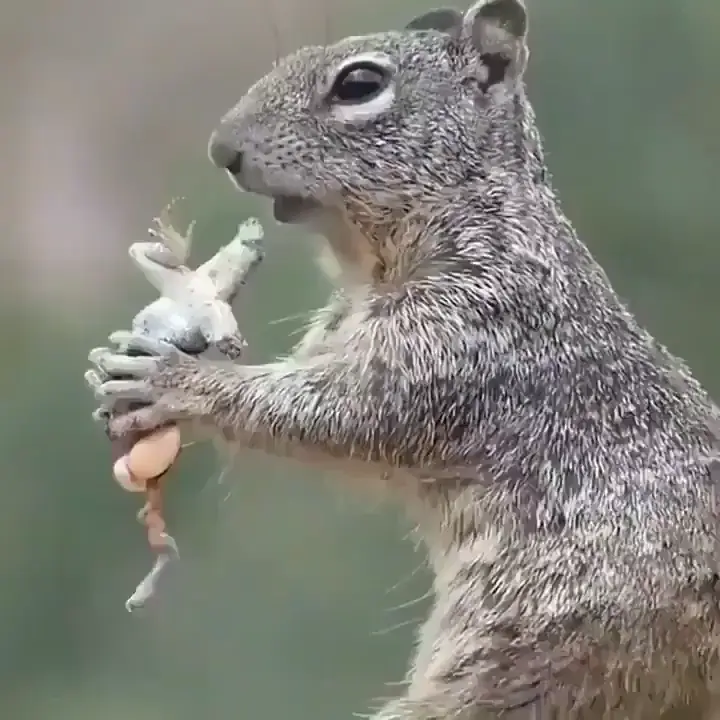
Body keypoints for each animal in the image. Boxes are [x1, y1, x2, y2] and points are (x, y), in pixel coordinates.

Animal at [86, 0, 720, 717]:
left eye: (359, 85)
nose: (224, 150)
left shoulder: (470, 330)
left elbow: (341, 413)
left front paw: (181, 380)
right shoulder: (340, 330)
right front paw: (121, 367)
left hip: (550, 653)